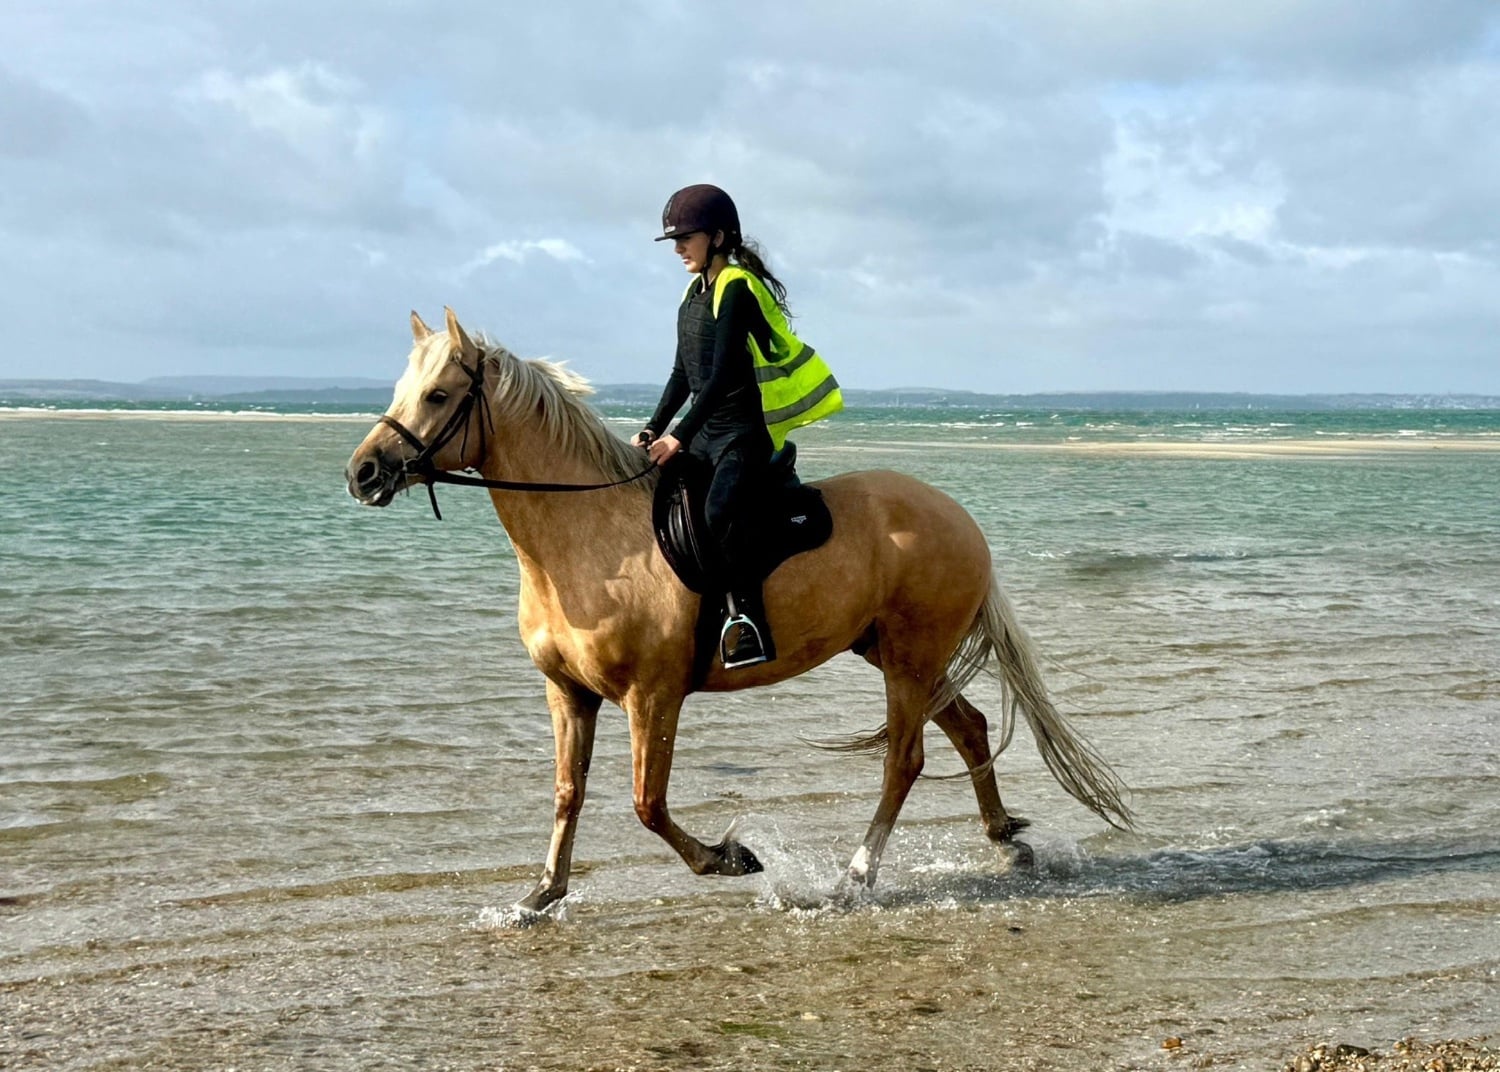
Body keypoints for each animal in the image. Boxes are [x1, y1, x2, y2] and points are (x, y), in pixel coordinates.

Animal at [345, 308, 1131, 914]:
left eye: (439, 395)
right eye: (403, 389)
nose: (363, 473)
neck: (588, 540)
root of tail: (958, 517)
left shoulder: (653, 696)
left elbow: (647, 804)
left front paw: (730, 858)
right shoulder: (567, 692)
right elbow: (569, 791)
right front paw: (541, 895)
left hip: (909, 658)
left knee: (903, 761)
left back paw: (854, 879)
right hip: (893, 649)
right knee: (968, 730)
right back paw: (1005, 842)